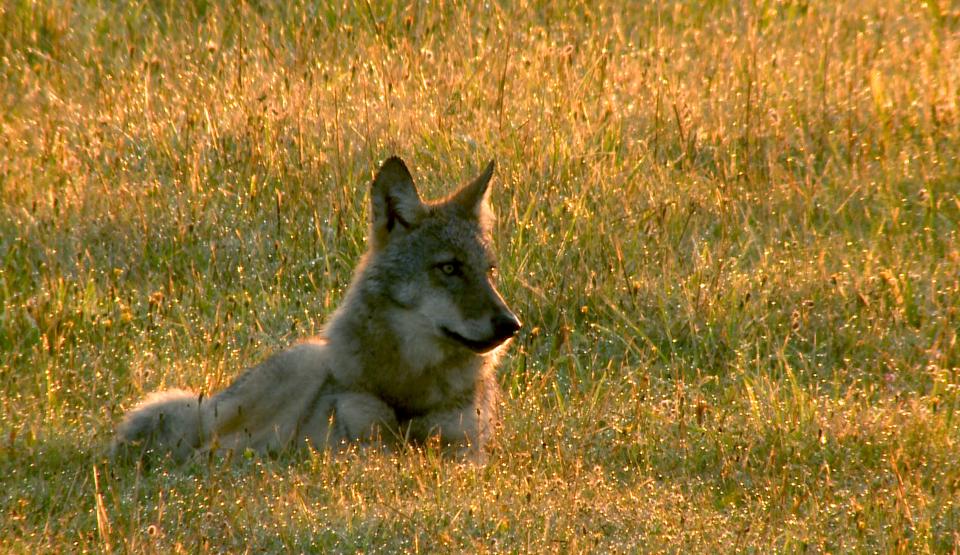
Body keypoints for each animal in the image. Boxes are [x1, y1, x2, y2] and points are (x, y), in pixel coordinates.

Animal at [115, 157, 520, 464]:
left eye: (489, 272)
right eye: (449, 268)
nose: (511, 325)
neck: (411, 390)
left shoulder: (465, 450)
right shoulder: (358, 442)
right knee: (211, 448)